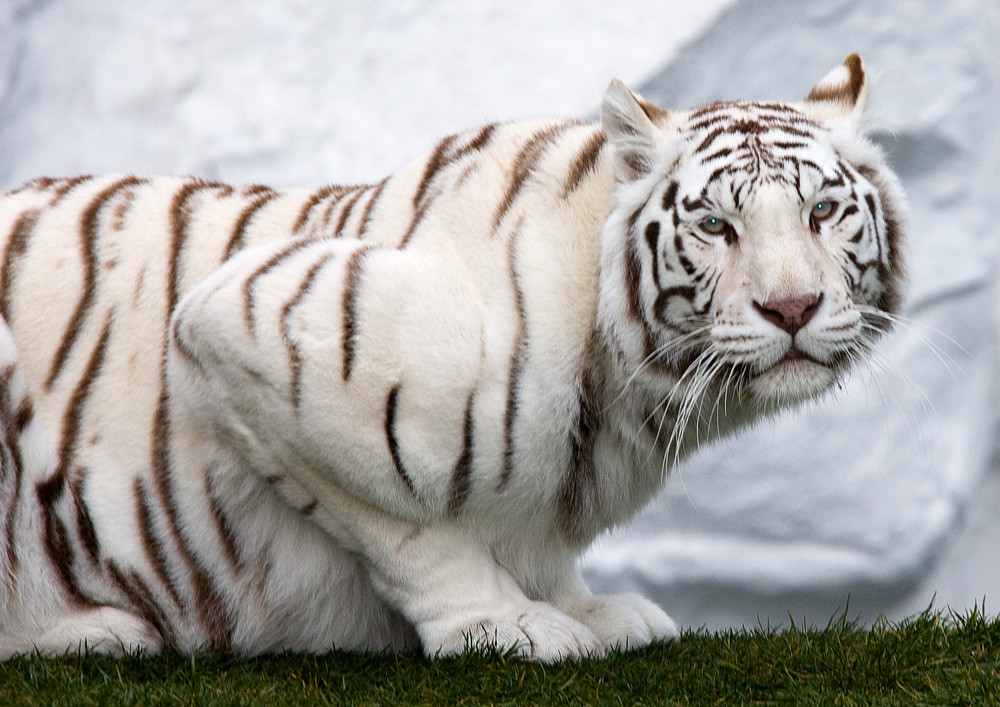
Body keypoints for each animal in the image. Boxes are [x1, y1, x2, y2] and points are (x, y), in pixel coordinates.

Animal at [0, 56, 908, 664]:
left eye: (823, 211)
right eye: (717, 225)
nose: (792, 308)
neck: (622, 382)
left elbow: (537, 544)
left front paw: (588, 609)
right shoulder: (244, 326)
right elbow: (409, 528)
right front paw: (507, 624)